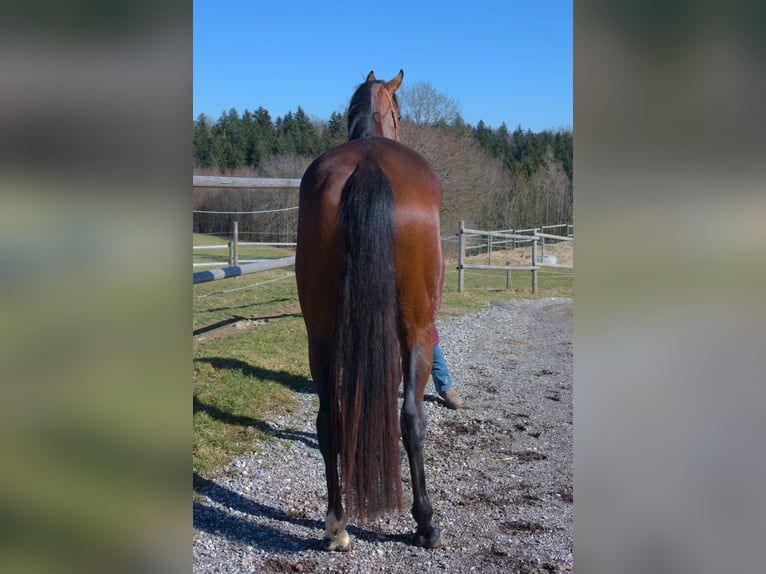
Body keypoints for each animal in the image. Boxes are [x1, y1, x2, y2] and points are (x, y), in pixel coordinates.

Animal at [295, 70, 445, 551]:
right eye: (398, 113)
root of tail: (368, 166)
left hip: (320, 333)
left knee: (330, 421)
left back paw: (337, 525)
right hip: (417, 325)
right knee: (411, 418)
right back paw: (425, 523)